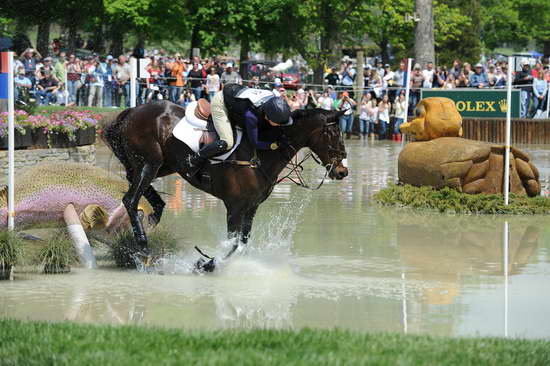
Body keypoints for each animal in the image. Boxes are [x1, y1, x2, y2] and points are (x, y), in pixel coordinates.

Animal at [103, 100, 350, 272]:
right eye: (332, 133)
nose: (342, 171)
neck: (261, 153)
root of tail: (132, 111)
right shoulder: (235, 206)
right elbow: (232, 243)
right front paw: (207, 264)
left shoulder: (251, 207)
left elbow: (242, 242)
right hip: (150, 162)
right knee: (130, 199)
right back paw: (143, 247)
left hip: (163, 165)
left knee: (136, 187)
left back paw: (156, 212)